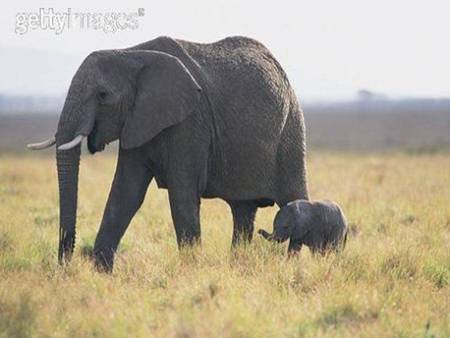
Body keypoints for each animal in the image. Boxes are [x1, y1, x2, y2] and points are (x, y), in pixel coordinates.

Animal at [28, 35, 308, 270]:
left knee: (294, 199)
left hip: (291, 130)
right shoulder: (137, 119)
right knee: (242, 210)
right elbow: (125, 194)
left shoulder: (190, 120)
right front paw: (102, 274)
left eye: (103, 95)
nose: (65, 267)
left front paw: (190, 272)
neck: (130, 54)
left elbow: (182, 195)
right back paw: (238, 265)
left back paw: (295, 265)